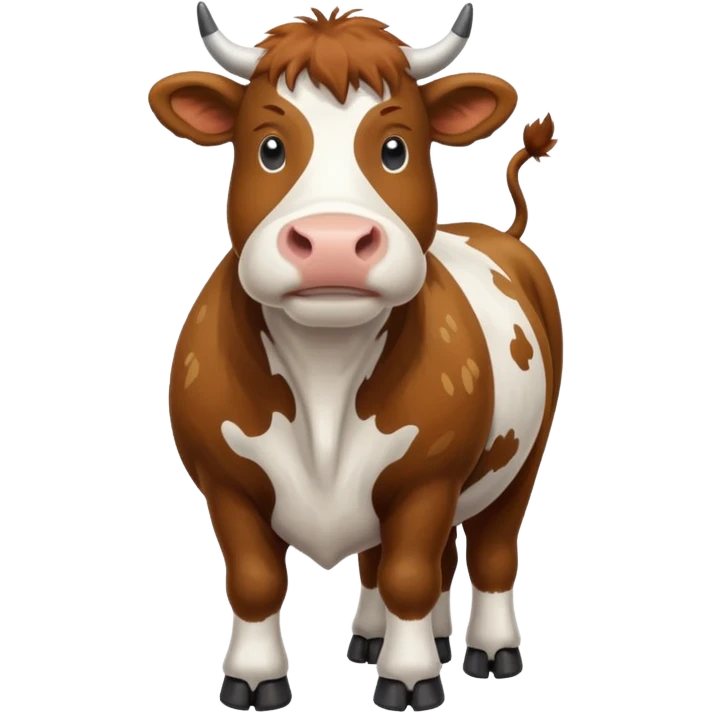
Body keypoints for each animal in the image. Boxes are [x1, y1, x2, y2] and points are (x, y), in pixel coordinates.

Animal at [150, 3, 564, 711]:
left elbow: (408, 575)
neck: (326, 369)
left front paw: (411, 677)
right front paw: (254, 679)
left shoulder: (428, 478)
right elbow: (256, 581)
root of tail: (493, 230)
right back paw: (380, 639)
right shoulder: (222, 477)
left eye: (395, 148)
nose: (335, 242)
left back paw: (486, 652)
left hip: (522, 459)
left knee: (489, 552)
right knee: (396, 562)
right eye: (270, 147)